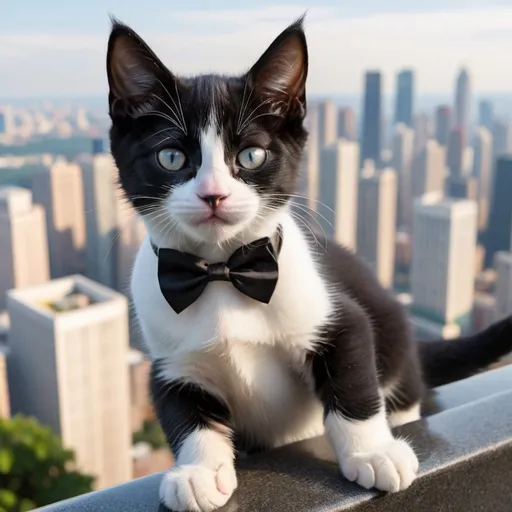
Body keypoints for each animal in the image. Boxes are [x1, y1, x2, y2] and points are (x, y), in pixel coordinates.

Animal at [106, 17, 512, 512]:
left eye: (251, 155)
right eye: (171, 157)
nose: (213, 195)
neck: (223, 274)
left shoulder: (340, 317)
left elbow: (353, 381)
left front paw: (372, 452)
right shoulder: (171, 362)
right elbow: (187, 413)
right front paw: (198, 472)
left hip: (395, 336)